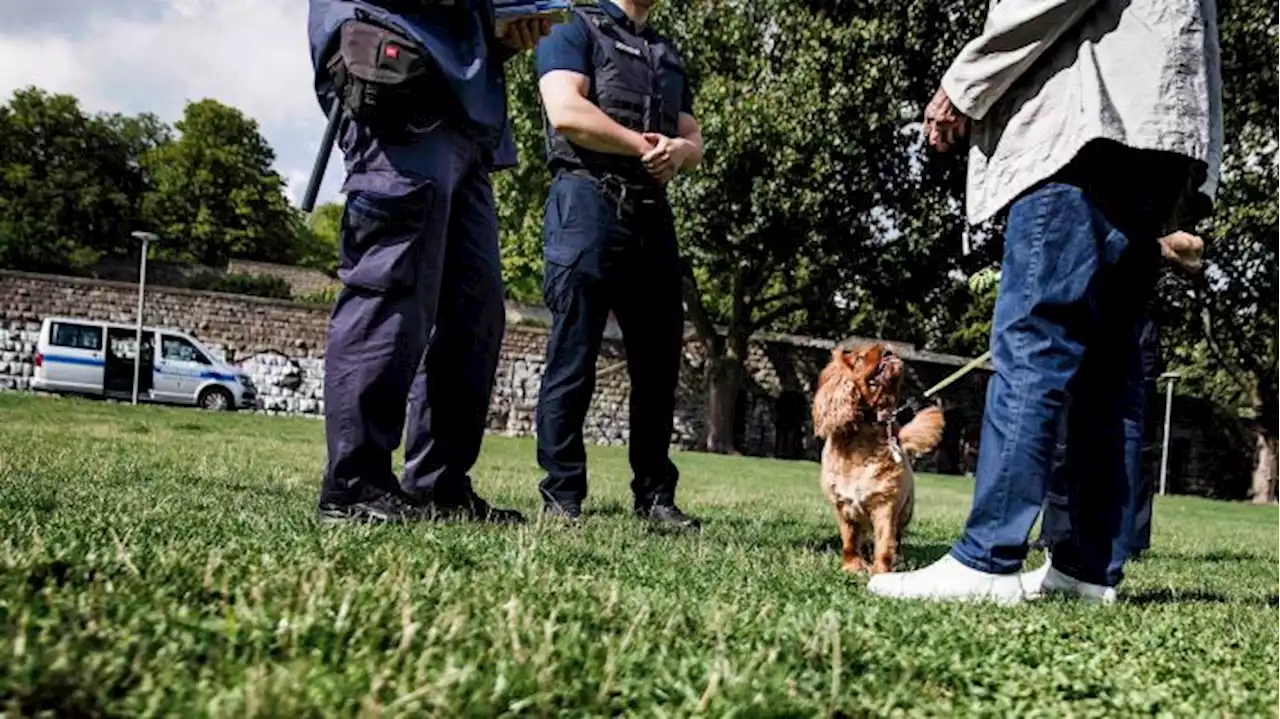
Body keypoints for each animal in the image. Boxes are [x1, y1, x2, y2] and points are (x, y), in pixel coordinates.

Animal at [814, 340, 947, 570]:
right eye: (859, 358)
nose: (887, 348)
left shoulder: (886, 505)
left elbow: (884, 544)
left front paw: (880, 571)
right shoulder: (842, 507)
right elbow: (849, 542)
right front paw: (853, 567)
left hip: (905, 511)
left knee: (897, 537)